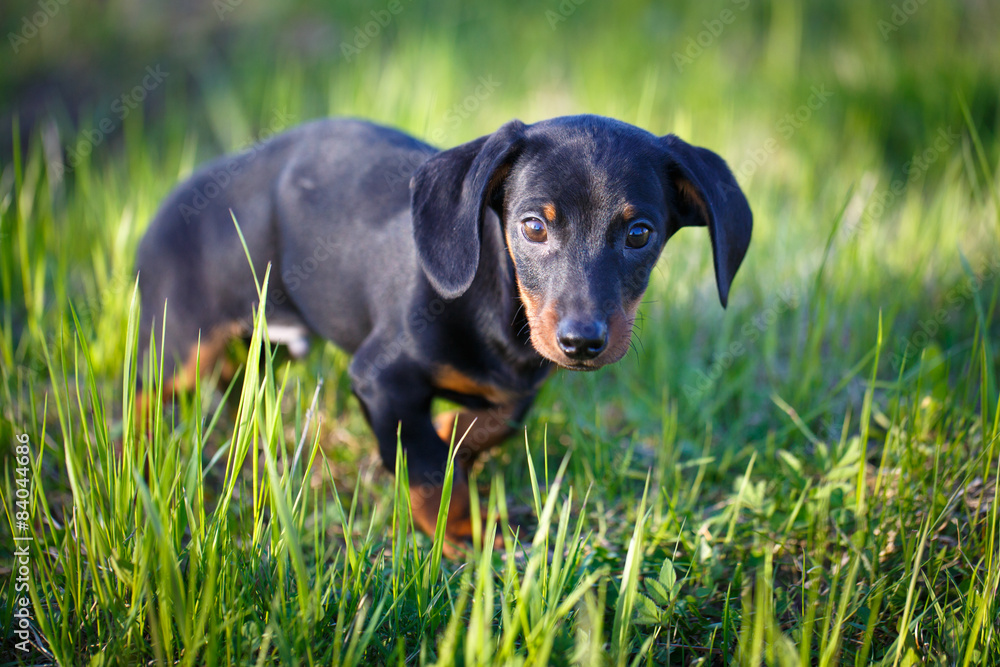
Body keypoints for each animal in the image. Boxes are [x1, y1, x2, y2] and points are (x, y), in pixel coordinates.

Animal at [137, 116, 752, 548]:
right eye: (533, 226)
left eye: (640, 233)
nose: (582, 343)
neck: (497, 310)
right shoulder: (379, 376)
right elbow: (431, 473)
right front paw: (458, 533)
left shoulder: (514, 389)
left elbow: (481, 427)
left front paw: (451, 436)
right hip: (180, 345)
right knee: (142, 398)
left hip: (261, 352)